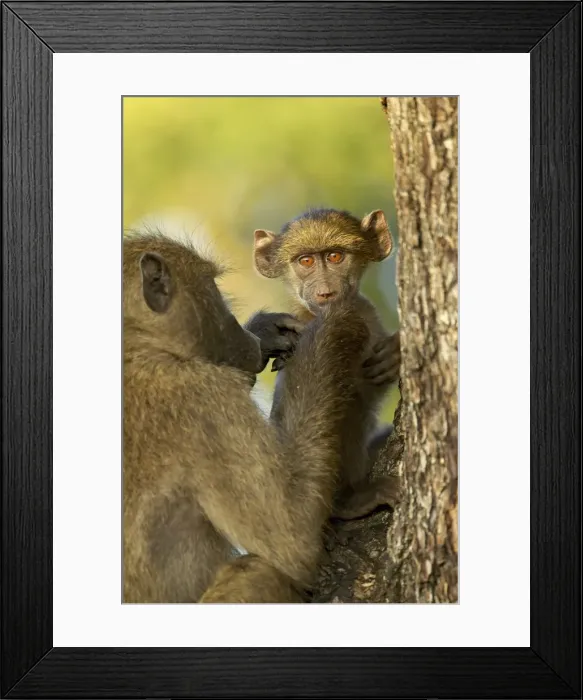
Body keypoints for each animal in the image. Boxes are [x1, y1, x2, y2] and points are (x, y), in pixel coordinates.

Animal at [123, 228, 370, 603]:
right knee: (259, 570)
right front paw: (336, 325)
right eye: (213, 286)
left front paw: (267, 331)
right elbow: (291, 537)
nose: (246, 337)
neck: (137, 346)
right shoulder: (205, 398)